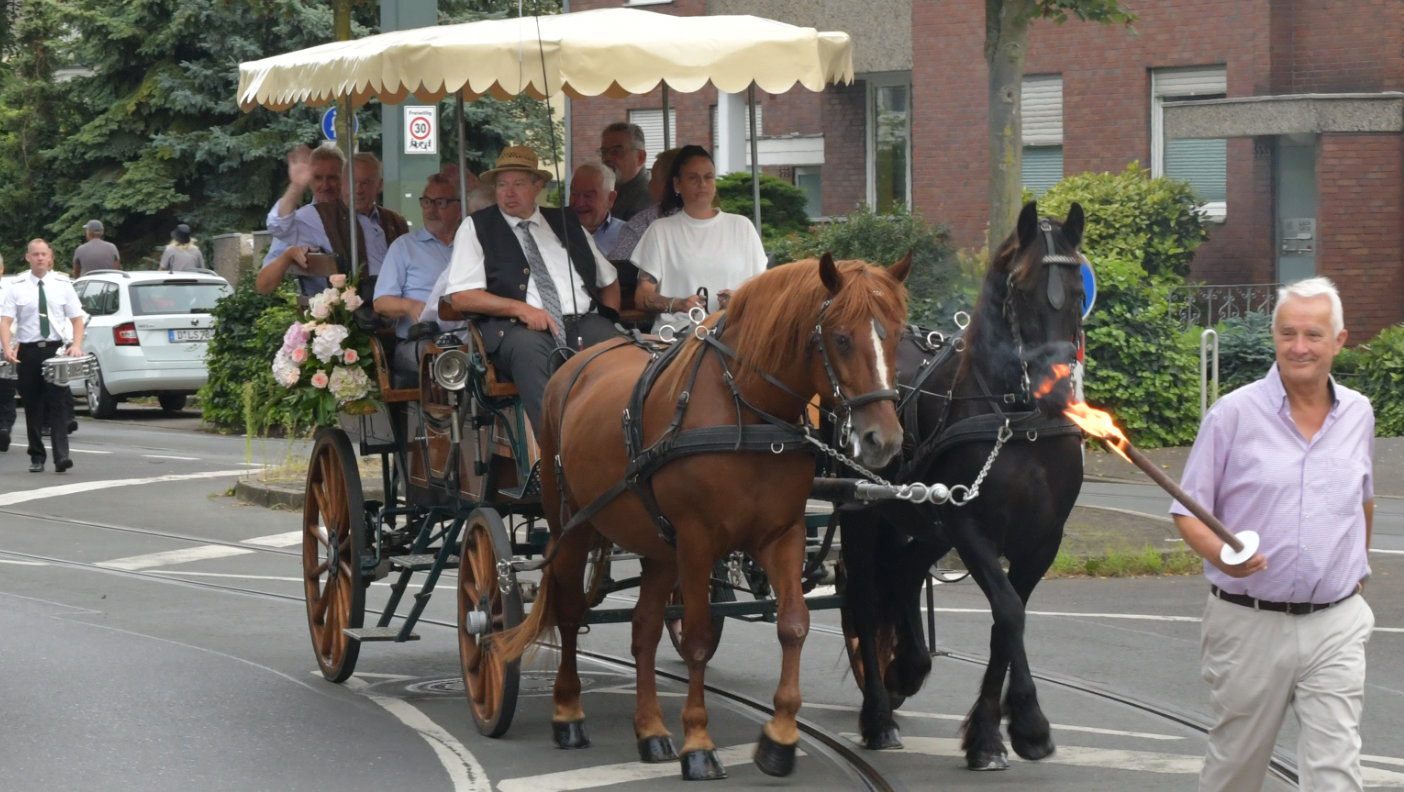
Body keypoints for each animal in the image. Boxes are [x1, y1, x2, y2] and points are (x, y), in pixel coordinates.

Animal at [494, 252, 909, 780]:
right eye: (840, 338)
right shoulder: (696, 542)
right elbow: (696, 638)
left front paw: (780, 738)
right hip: (572, 525)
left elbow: (793, 625)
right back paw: (568, 714)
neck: (747, 414)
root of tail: (572, 365)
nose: (884, 440)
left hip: (654, 543)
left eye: (895, 334)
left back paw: (651, 730)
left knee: (644, 629)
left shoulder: (783, 536)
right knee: (569, 614)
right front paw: (698, 744)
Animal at [836, 200, 1089, 769]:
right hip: (863, 511)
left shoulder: (1043, 539)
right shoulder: (970, 528)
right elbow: (1009, 612)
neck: (1019, 418)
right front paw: (1018, 726)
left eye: (1078, 291)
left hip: (923, 523)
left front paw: (998, 730)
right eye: (1021, 288)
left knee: (903, 573)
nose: (1059, 388)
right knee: (864, 596)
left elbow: (1007, 620)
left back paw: (908, 666)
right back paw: (879, 716)